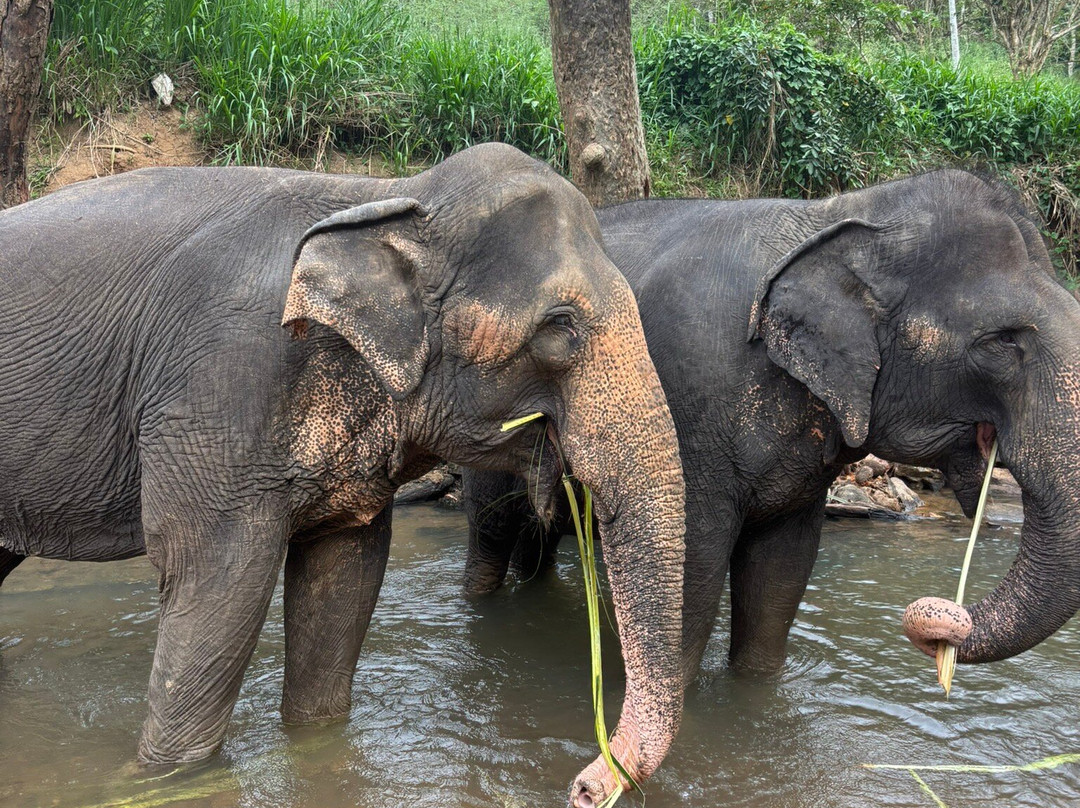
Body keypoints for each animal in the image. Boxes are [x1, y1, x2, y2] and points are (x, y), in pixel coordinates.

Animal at [0, 143, 685, 808]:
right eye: (558, 327)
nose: (585, 787)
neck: (388, 195)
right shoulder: (213, 396)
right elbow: (217, 584)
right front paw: (164, 780)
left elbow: (344, 577)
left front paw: (315, 744)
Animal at [462, 169, 1080, 687]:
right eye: (1002, 341)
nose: (940, 625)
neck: (843, 213)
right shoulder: (688, 411)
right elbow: (691, 577)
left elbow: (780, 578)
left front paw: (754, 690)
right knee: (491, 532)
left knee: (535, 542)